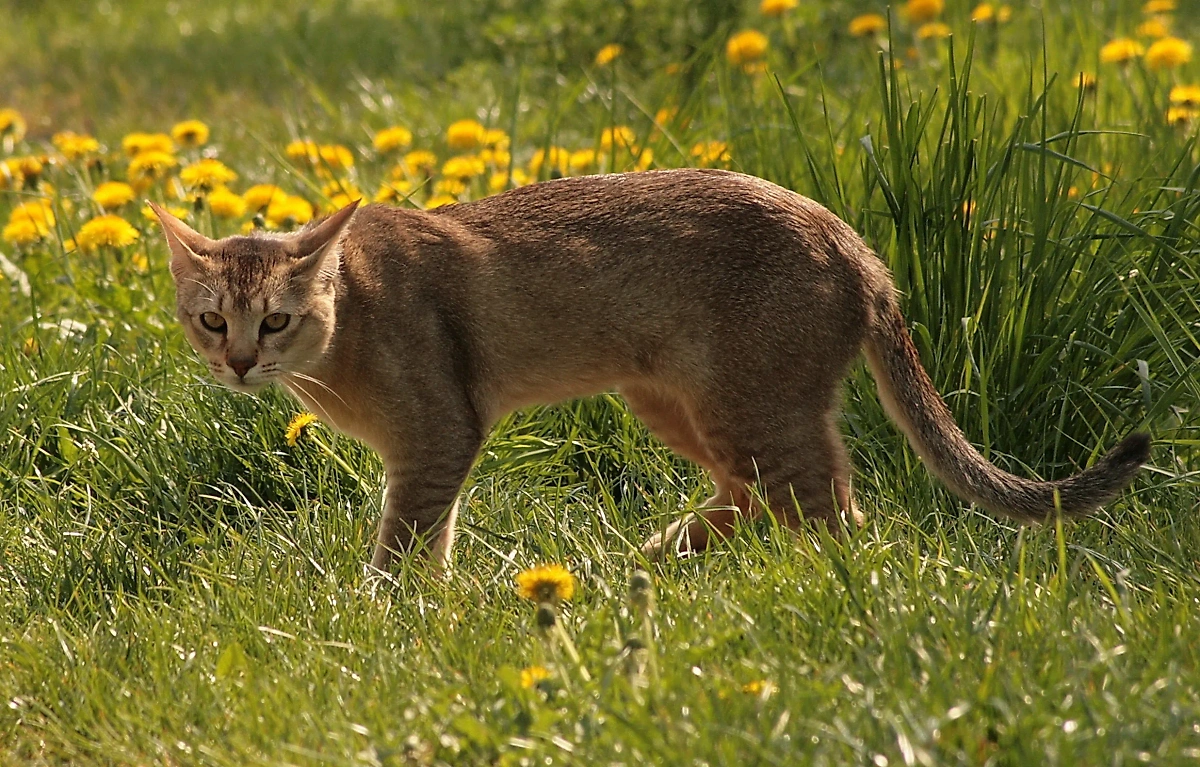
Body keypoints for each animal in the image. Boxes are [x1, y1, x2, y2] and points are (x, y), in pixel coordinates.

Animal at [145, 169, 1147, 576]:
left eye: (276, 318)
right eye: (211, 319)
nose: (240, 363)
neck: (343, 329)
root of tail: (856, 245)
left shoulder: (438, 434)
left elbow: (406, 541)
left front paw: (384, 614)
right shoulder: (432, 447)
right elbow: (428, 536)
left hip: (751, 406)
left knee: (840, 513)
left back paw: (821, 593)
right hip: (674, 402)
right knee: (759, 497)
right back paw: (649, 561)